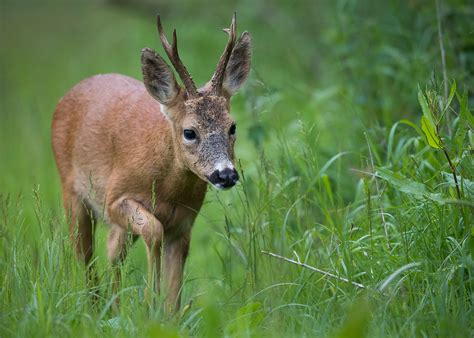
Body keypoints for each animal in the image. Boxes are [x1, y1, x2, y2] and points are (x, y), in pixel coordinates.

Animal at [51, 13, 252, 310]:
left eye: (232, 126)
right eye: (189, 132)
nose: (225, 175)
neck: (167, 190)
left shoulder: (184, 224)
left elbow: (174, 293)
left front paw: (160, 309)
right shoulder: (115, 199)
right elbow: (153, 229)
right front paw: (149, 302)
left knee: (112, 253)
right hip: (71, 192)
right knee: (85, 257)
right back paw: (96, 306)